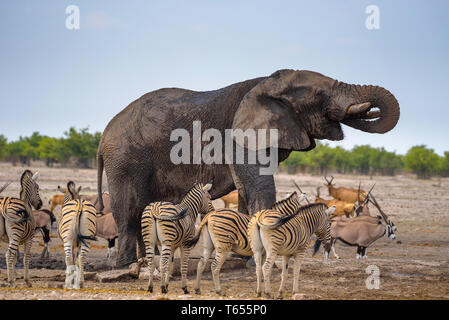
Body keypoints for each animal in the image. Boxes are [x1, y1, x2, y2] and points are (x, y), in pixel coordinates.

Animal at [97, 70, 400, 268]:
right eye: (320, 94)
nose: (367, 109)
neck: (266, 82)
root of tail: (103, 136)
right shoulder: (239, 136)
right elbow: (258, 186)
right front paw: (264, 261)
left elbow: (246, 189)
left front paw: (243, 257)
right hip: (125, 159)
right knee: (129, 208)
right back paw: (125, 266)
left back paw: (144, 261)